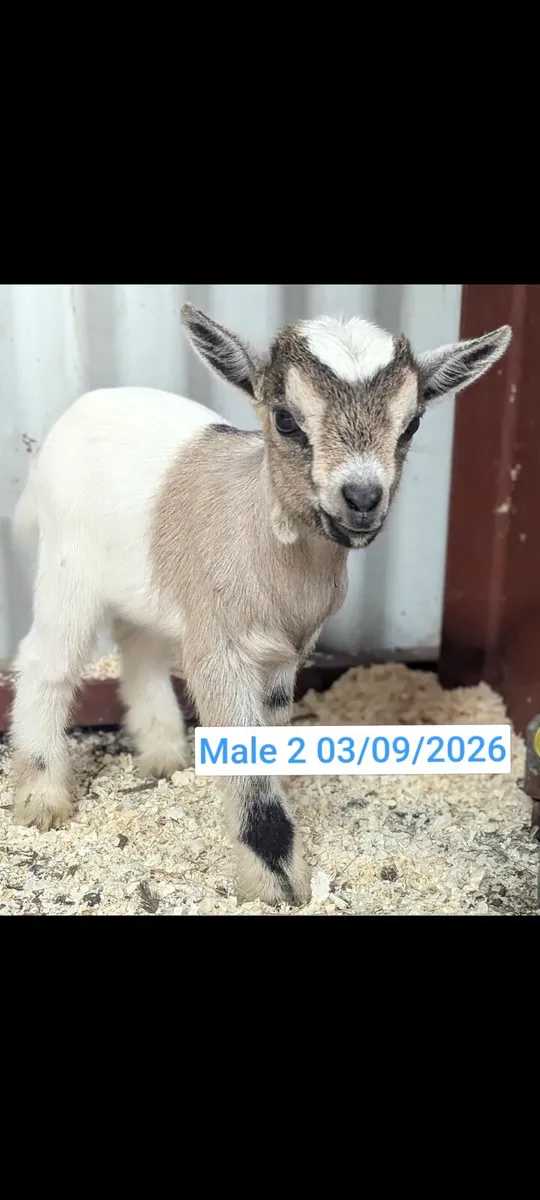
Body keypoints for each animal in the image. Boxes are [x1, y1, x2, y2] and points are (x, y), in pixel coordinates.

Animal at [10, 305, 511, 906]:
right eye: (286, 419)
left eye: (411, 423)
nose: (362, 499)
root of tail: (75, 413)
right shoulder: (220, 652)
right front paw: (277, 884)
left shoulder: (281, 659)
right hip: (70, 565)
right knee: (47, 662)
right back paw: (41, 797)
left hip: (148, 585)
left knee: (140, 652)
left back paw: (163, 754)